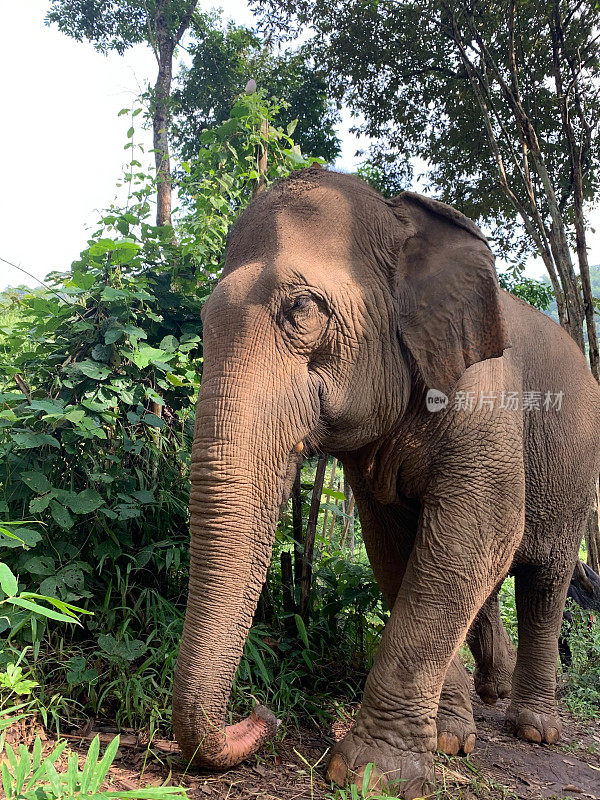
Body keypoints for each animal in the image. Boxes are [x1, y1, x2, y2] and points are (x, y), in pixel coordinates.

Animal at [171, 166, 600, 796]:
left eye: (303, 309)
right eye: (203, 320)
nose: (260, 715)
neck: (403, 224)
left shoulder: (486, 397)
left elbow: (479, 532)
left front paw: (373, 774)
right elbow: (399, 548)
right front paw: (449, 737)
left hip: (576, 470)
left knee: (546, 579)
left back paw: (534, 729)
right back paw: (490, 694)